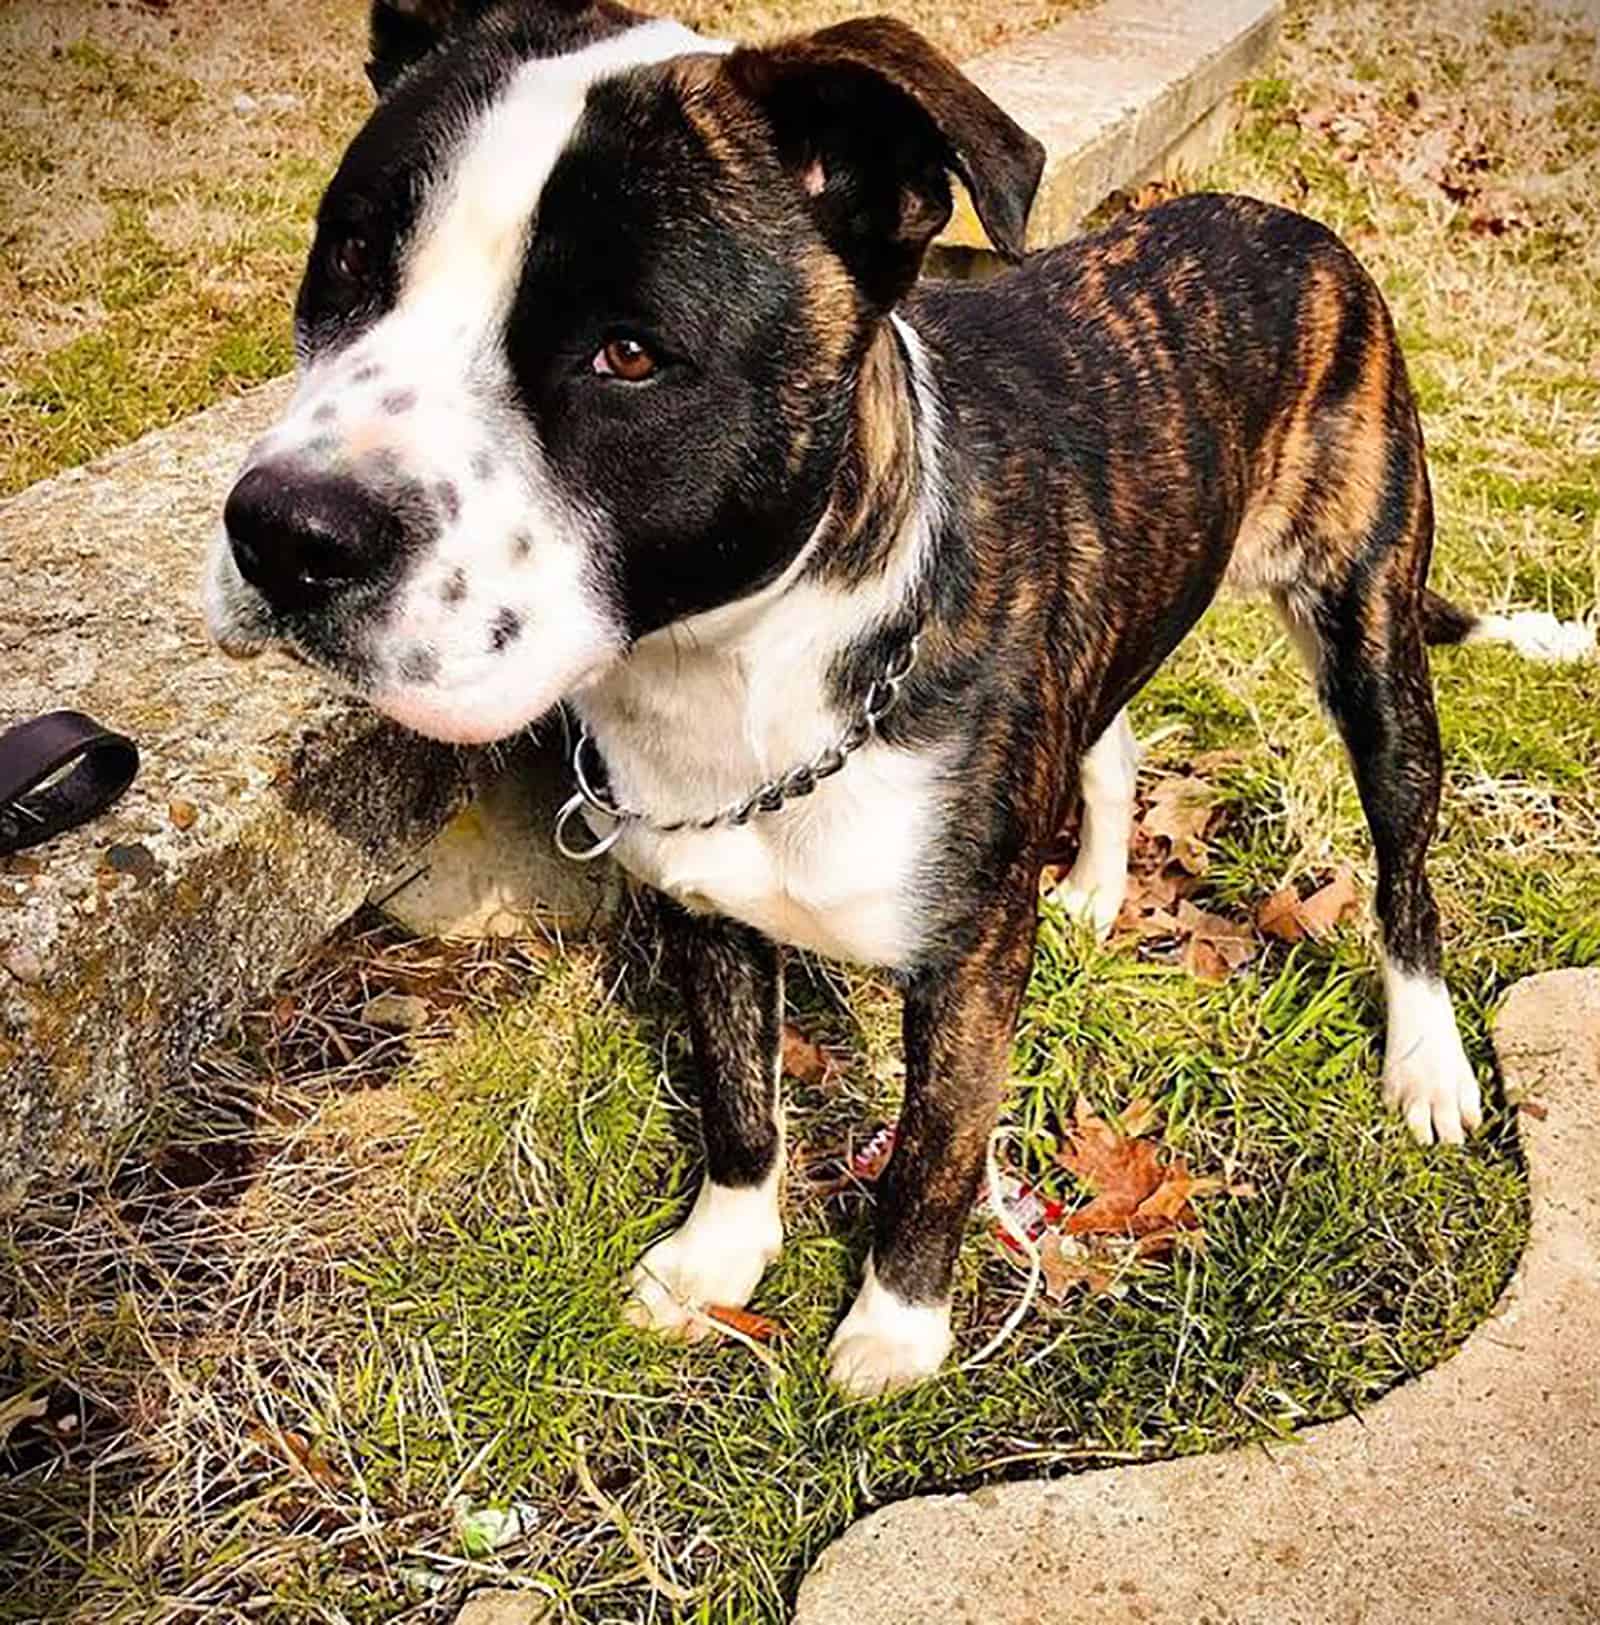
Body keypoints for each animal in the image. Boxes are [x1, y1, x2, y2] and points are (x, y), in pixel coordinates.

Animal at [206, 0, 1591, 1397]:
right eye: (349, 258)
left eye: (628, 352)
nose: (286, 533)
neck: (741, 669)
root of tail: (1287, 223)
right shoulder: (706, 903)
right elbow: (737, 1096)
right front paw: (722, 1251)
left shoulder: (967, 964)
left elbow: (935, 1148)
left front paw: (897, 1322)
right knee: (1110, 735)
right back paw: (1095, 887)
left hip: (1370, 644)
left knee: (1407, 869)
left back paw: (1425, 1061)